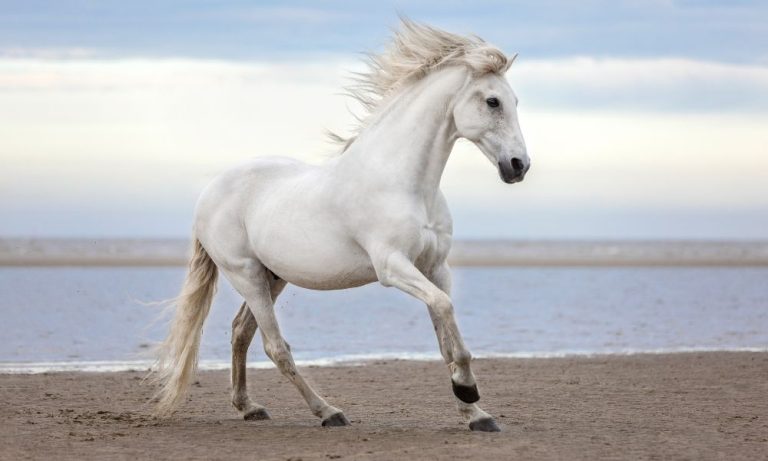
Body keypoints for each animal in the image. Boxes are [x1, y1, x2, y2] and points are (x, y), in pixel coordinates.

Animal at [152, 19, 530, 432]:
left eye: (514, 101)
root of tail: (209, 192)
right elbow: (445, 311)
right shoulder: (392, 267)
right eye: (492, 101)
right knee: (275, 346)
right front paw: (467, 390)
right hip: (246, 274)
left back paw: (249, 407)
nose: (518, 166)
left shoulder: (435, 268)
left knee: (241, 333)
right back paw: (328, 412)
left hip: (273, 277)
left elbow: (445, 331)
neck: (405, 183)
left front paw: (476, 414)